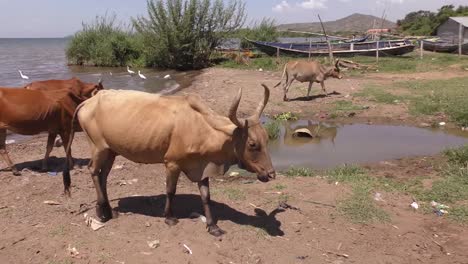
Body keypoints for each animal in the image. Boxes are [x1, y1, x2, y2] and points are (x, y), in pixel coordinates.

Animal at [65, 84, 278, 235]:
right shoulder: (172, 163)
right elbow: (170, 191)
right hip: (99, 147)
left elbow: (206, 196)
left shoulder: (201, 167)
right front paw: (169, 217)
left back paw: (108, 210)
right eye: (252, 144)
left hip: (111, 151)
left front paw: (212, 226)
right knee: (93, 171)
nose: (271, 174)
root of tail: (90, 101)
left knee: (104, 175)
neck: (199, 125)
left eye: (267, 139)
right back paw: (101, 213)